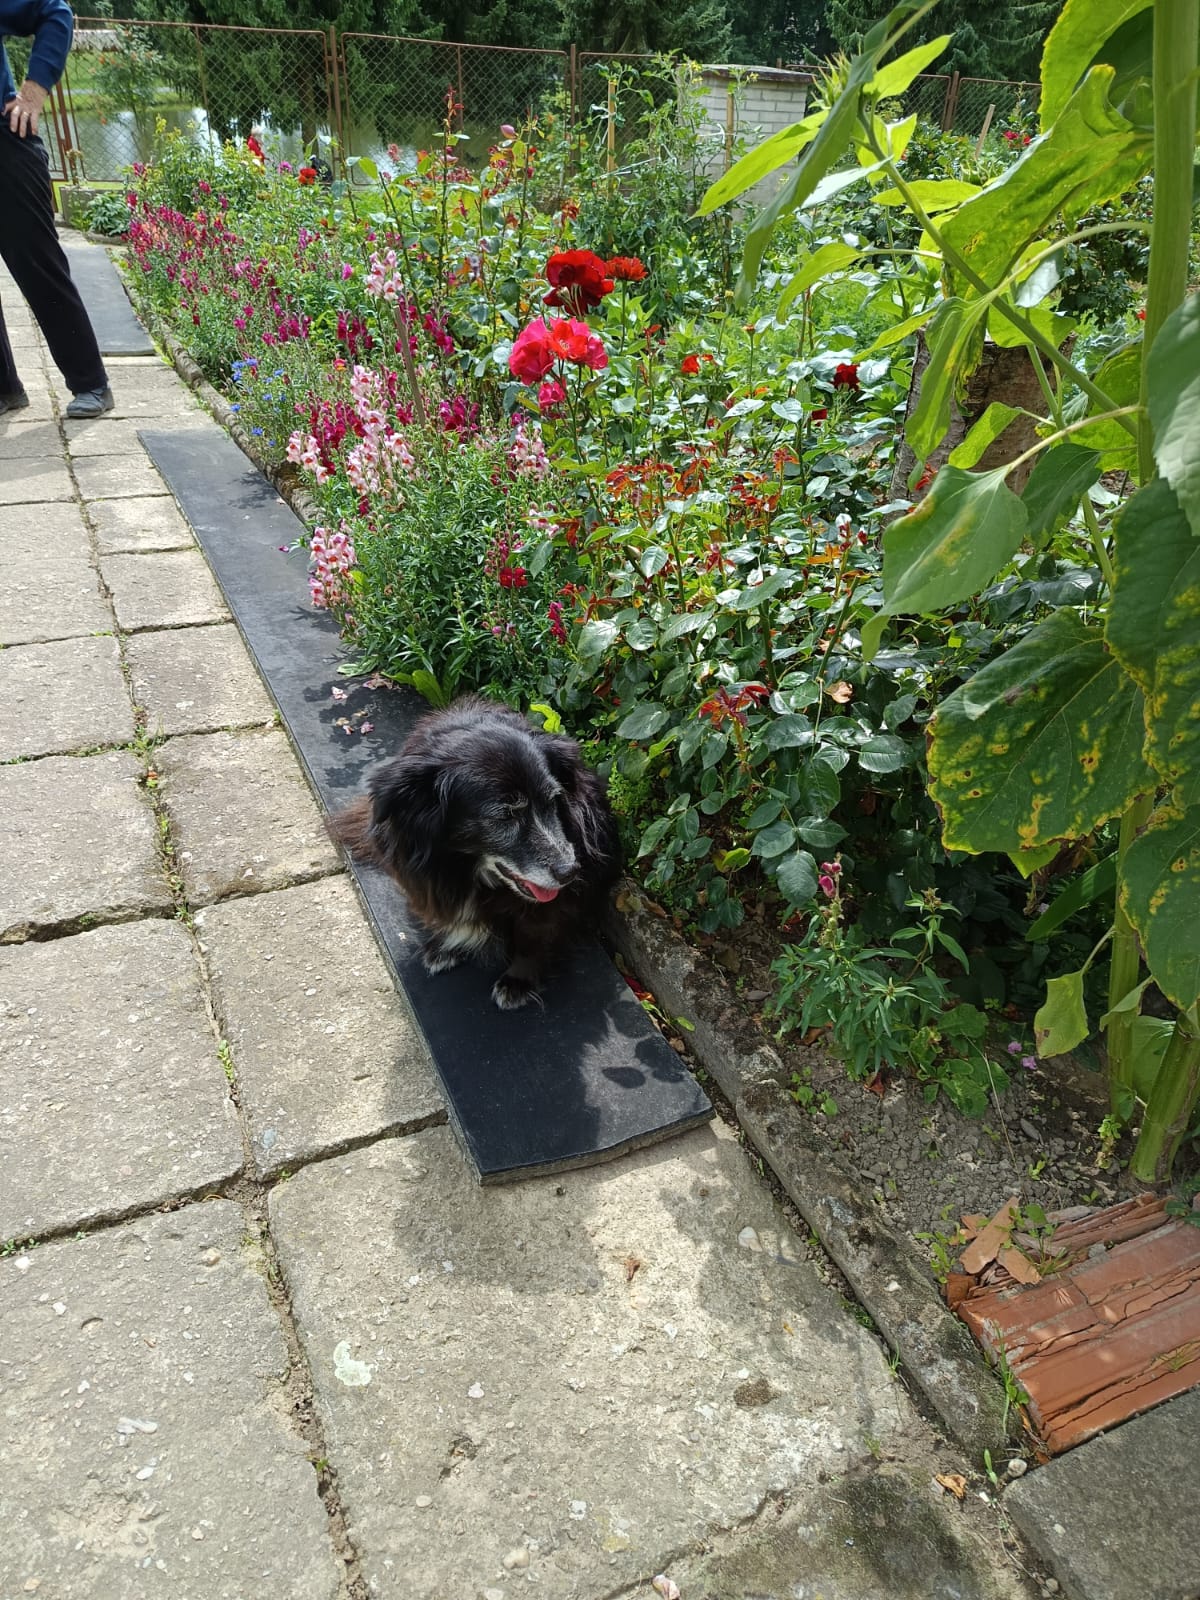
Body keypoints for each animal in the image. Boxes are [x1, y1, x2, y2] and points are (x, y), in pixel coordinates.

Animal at [329, 697, 622, 1010]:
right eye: (504, 816)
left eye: (554, 801)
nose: (570, 871)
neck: (465, 865)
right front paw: (445, 946)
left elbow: (534, 933)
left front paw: (518, 981)